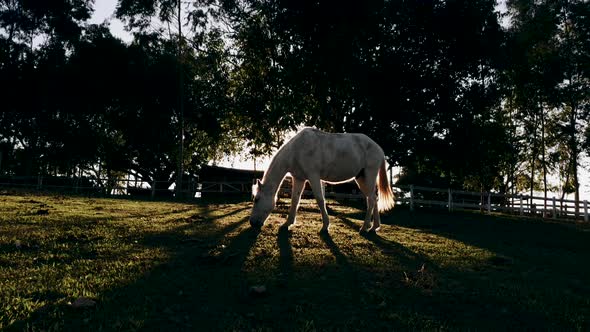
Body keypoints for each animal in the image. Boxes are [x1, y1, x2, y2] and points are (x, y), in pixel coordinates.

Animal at [247, 127, 396, 233]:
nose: (252, 223)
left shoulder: (313, 176)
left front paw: (325, 226)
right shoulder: (299, 179)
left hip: (369, 176)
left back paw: (365, 227)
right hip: (362, 179)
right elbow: (295, 200)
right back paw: (374, 227)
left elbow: (320, 199)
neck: (296, 150)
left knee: (371, 200)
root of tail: (379, 149)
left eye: (257, 199)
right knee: (374, 198)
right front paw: (287, 224)